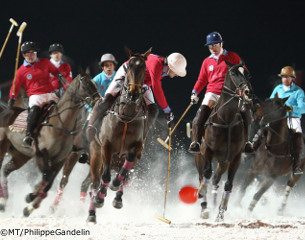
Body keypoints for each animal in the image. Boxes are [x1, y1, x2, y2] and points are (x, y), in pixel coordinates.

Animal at [0, 73, 99, 216]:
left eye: (94, 83)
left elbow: (49, 183)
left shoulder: (60, 160)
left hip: (21, 155)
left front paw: (30, 205)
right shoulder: (42, 154)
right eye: (86, 83)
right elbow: (46, 177)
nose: (99, 99)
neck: (61, 124)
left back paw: (3, 202)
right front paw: (31, 198)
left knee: (6, 170)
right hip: (3, 147)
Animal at [86, 47, 150, 224]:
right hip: (96, 155)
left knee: (125, 174)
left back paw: (117, 197)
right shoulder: (106, 147)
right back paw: (92, 211)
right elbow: (106, 176)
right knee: (94, 183)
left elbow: (124, 170)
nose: (134, 93)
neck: (126, 116)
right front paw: (100, 198)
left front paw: (116, 186)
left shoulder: (136, 147)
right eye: (128, 68)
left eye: (144, 69)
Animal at [195, 61, 252, 221]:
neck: (226, 120)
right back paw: (204, 207)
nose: (247, 92)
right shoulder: (207, 151)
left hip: (224, 161)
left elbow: (228, 184)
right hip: (199, 157)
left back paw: (214, 205)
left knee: (216, 179)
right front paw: (202, 196)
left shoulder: (235, 157)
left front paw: (220, 213)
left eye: (248, 74)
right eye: (233, 73)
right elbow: (206, 174)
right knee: (202, 177)